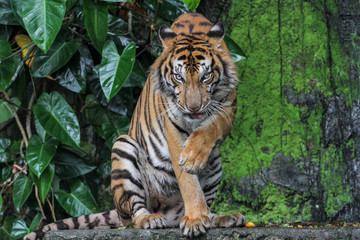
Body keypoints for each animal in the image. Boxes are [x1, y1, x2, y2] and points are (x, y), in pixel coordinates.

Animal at [20, 13, 245, 240]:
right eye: (178, 77)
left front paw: (193, 158)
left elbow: (211, 128)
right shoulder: (172, 125)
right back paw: (152, 219)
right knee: (133, 216)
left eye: (205, 76)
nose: (193, 107)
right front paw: (195, 219)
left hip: (215, 160)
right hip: (123, 148)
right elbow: (188, 181)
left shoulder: (228, 107)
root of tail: (172, 214)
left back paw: (223, 218)